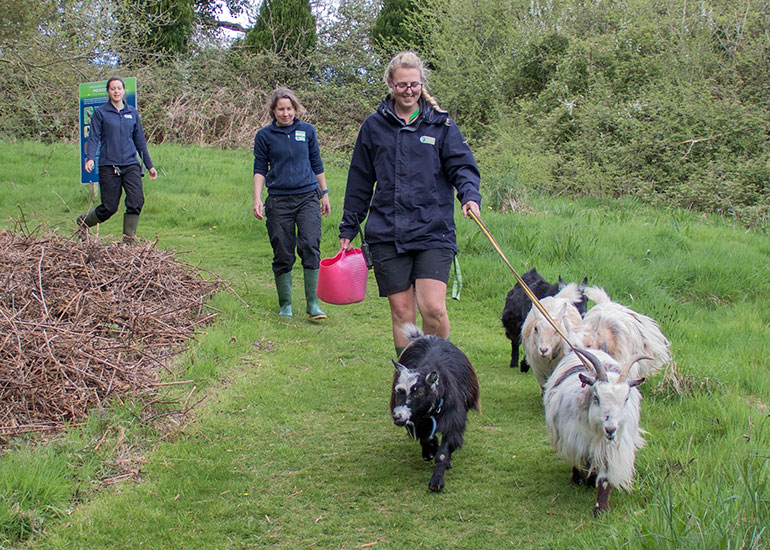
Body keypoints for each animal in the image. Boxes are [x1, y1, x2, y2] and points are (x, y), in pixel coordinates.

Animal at [390, 324, 480, 492]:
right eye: (399, 390)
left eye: (420, 392)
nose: (398, 416)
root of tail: (427, 336)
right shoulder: (420, 422)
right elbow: (427, 438)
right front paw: (429, 452)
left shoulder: (453, 422)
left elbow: (443, 454)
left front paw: (436, 481)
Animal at [543, 347, 649, 516]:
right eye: (596, 397)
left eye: (626, 399)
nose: (611, 429)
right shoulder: (576, 440)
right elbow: (581, 460)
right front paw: (582, 480)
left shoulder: (611, 447)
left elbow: (605, 476)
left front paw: (601, 508)